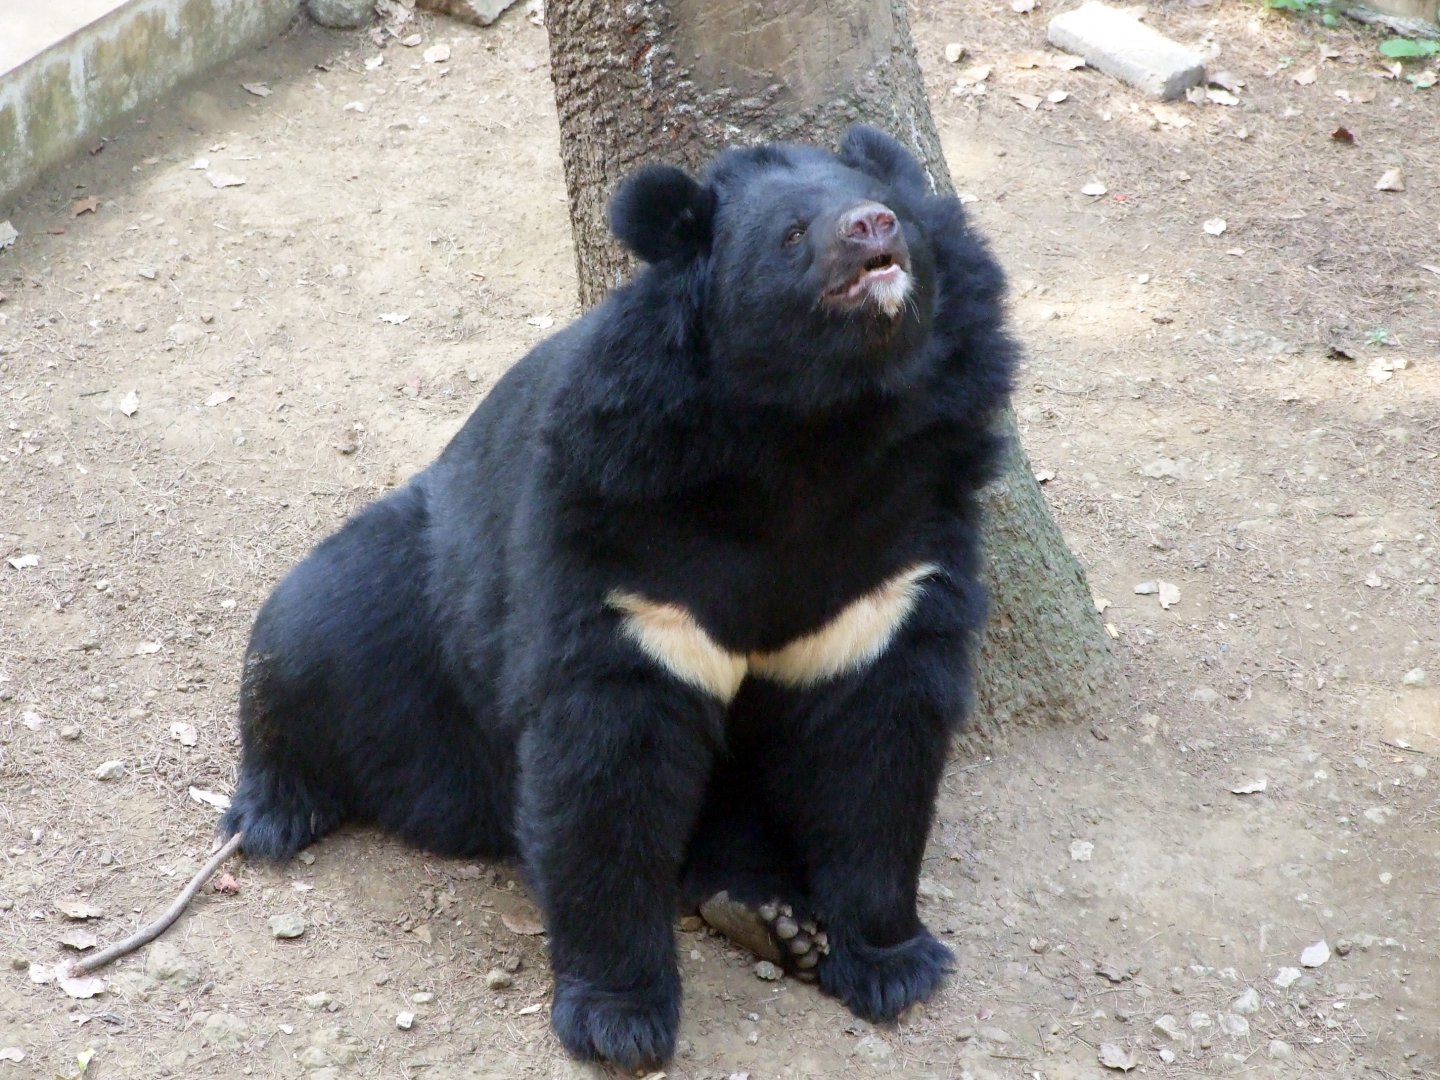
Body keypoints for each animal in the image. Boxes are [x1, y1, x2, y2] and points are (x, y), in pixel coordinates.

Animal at [219, 125, 1016, 1070]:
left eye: (892, 208)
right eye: (792, 233)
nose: (871, 227)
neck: (812, 429)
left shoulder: (894, 550)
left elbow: (878, 739)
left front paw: (893, 964)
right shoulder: (626, 531)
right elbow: (607, 754)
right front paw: (619, 1019)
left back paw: (765, 914)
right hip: (409, 587)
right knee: (307, 633)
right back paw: (276, 808)